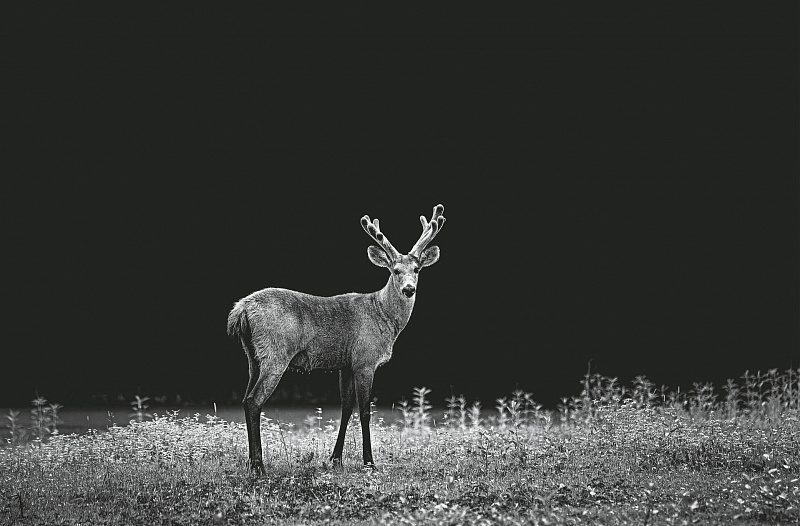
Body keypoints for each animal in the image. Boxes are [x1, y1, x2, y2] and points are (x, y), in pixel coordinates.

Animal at [227, 204, 446, 473]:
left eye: (416, 269)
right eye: (395, 271)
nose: (408, 289)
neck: (383, 316)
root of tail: (240, 311)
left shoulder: (346, 364)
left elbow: (346, 408)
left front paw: (335, 459)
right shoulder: (365, 360)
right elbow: (365, 411)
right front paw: (369, 462)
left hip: (252, 356)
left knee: (245, 399)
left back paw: (251, 462)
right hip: (275, 352)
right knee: (253, 400)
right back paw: (259, 465)